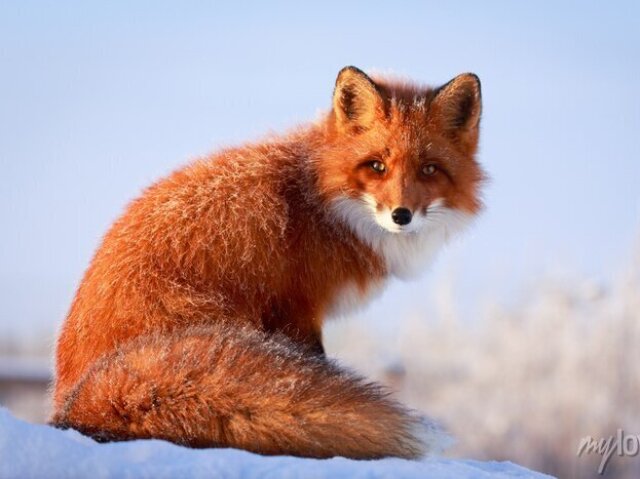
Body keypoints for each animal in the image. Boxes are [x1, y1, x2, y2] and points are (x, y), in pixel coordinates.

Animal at [51, 65, 484, 460]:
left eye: (429, 169)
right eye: (377, 166)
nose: (401, 215)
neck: (319, 202)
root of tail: (71, 402)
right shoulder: (297, 309)